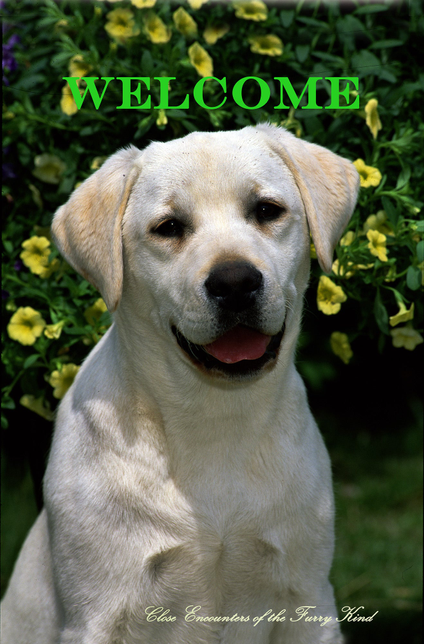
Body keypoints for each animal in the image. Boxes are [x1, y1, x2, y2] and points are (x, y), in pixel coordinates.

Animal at [1, 126, 358, 644]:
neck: (213, 419)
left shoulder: (308, 599)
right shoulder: (96, 613)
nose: (235, 281)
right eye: (168, 227)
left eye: (266, 210)